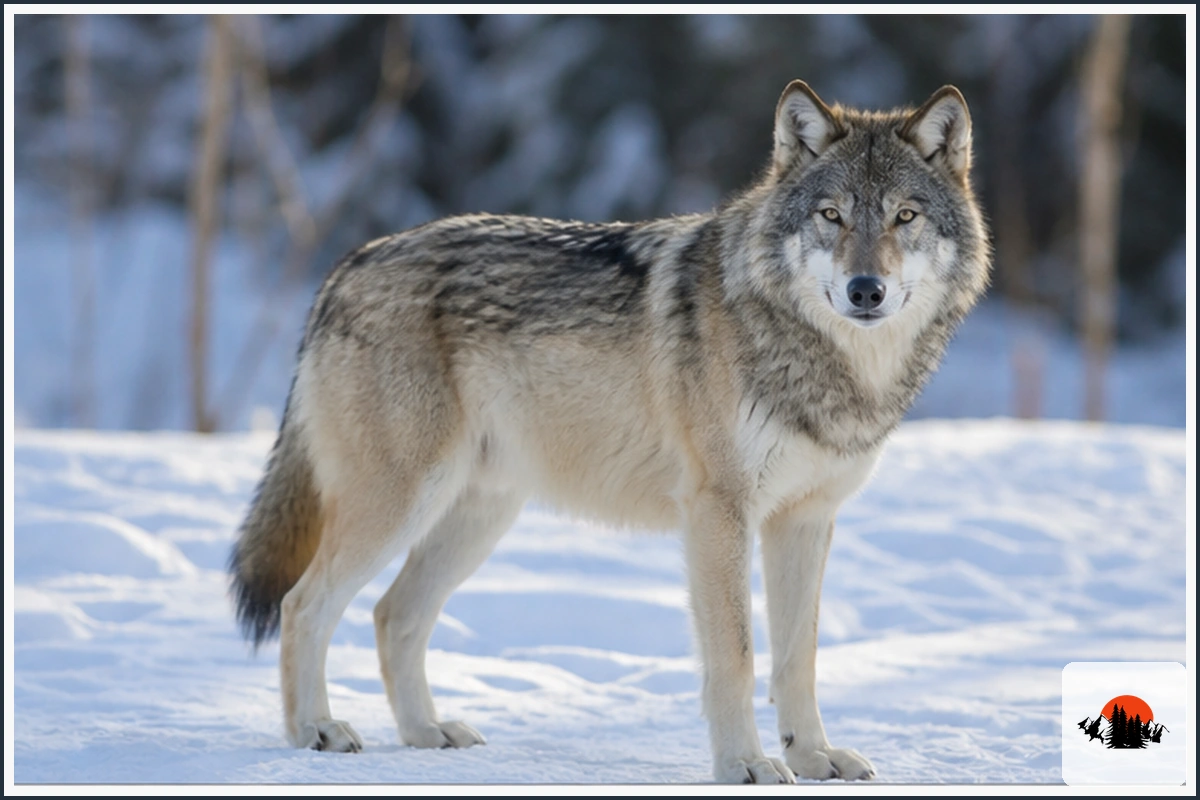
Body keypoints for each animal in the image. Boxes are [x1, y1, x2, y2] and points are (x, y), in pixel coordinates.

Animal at [229, 80, 990, 783]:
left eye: (904, 216)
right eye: (831, 216)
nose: (866, 290)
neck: (828, 364)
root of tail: (344, 268)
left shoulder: (806, 519)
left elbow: (798, 657)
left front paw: (813, 757)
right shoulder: (719, 513)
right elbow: (738, 656)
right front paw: (744, 764)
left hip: (477, 516)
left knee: (393, 615)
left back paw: (425, 733)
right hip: (401, 504)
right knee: (304, 605)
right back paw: (316, 731)